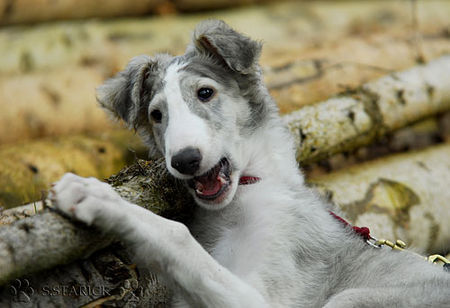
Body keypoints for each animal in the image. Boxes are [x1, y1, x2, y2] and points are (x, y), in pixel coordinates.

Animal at [50, 20, 450, 306]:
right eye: (156, 114)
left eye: (205, 92)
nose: (185, 160)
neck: (246, 197)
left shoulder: (264, 296)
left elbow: (176, 235)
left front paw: (94, 195)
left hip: (352, 299)